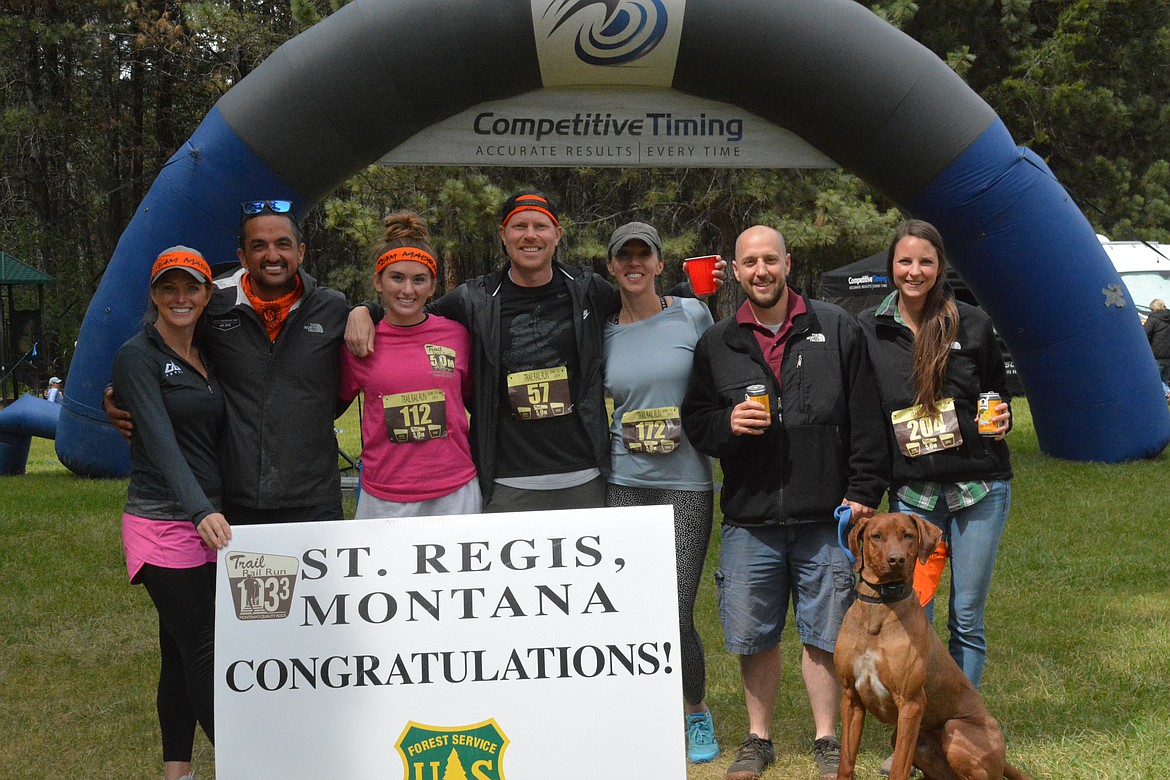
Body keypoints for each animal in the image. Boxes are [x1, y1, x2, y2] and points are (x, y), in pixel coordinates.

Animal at [833, 512, 1034, 780]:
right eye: (876, 536)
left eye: (907, 535)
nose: (896, 559)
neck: (880, 607)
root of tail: (1002, 761)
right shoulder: (851, 697)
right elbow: (846, 762)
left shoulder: (911, 703)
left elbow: (899, 768)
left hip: (954, 728)